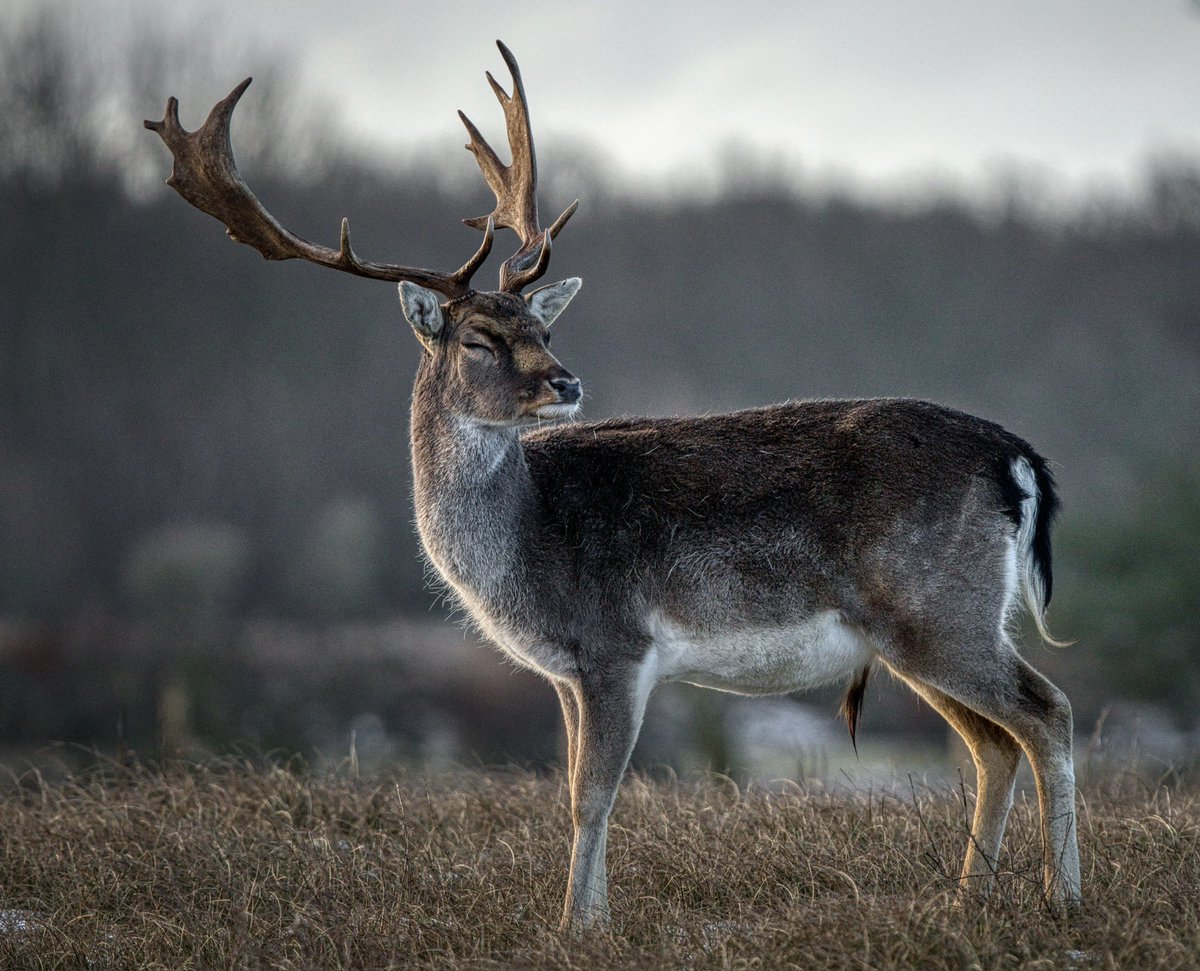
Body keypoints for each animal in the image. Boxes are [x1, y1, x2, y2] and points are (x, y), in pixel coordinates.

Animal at [145, 39, 1084, 931]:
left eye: (542, 326)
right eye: (480, 338)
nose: (565, 381)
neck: (527, 545)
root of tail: (1015, 457)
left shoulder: (615, 644)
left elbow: (591, 795)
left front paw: (575, 926)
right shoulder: (566, 671)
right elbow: (571, 791)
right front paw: (586, 917)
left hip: (937, 610)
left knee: (1047, 711)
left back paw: (1063, 898)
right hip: (915, 631)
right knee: (993, 743)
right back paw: (966, 902)